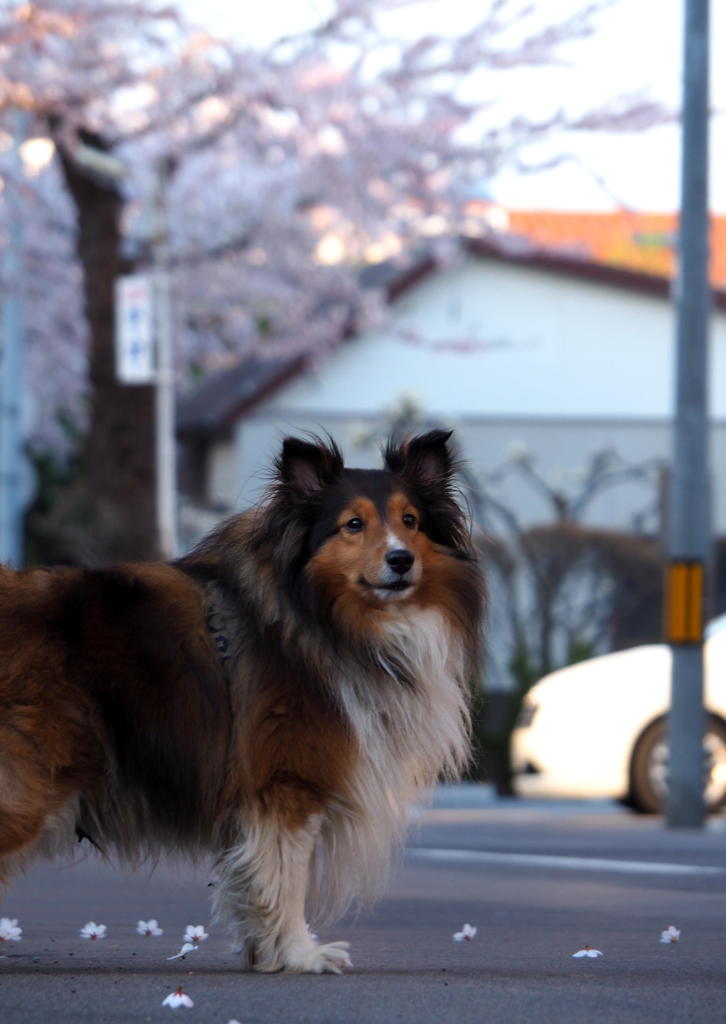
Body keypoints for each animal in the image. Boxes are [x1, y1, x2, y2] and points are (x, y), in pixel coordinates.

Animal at [1, 432, 487, 974]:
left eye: (410, 521)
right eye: (353, 524)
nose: (401, 560)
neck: (317, 617)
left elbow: (256, 881)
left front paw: (266, 952)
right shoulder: (287, 783)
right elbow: (286, 880)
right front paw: (301, 954)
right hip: (27, 786)